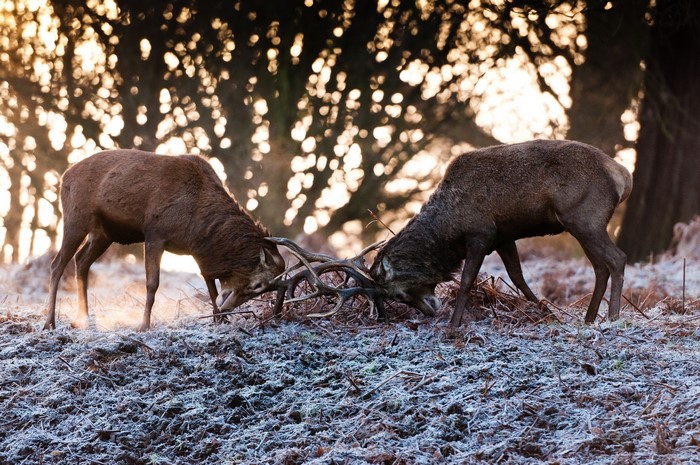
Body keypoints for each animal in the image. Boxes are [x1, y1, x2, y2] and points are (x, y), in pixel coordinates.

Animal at [43, 150, 285, 331]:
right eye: (257, 285)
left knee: (81, 261)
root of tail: (64, 177)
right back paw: (50, 322)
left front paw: (218, 319)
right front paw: (143, 325)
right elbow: (152, 284)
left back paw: (82, 319)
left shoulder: (197, 251)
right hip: (76, 219)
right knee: (57, 263)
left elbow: (210, 284)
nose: (228, 309)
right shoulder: (155, 234)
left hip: (103, 234)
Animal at [369, 139, 633, 327]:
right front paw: (548, 315)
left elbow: (466, 280)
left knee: (617, 258)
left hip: (586, 220)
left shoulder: (481, 233)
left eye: (400, 295)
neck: (449, 229)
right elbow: (518, 277)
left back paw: (613, 318)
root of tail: (624, 176)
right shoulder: (503, 239)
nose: (430, 312)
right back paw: (589, 319)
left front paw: (453, 325)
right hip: (581, 226)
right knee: (600, 267)